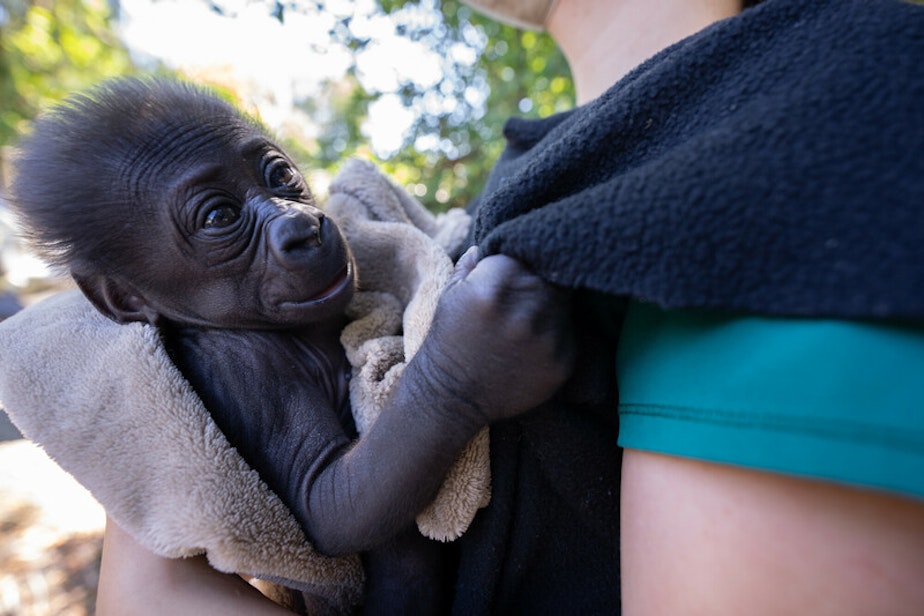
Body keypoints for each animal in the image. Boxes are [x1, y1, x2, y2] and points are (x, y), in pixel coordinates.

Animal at [7, 79, 572, 612]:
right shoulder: (238, 364)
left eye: (279, 177)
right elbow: (328, 502)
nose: (302, 228)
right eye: (218, 218)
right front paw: (477, 349)